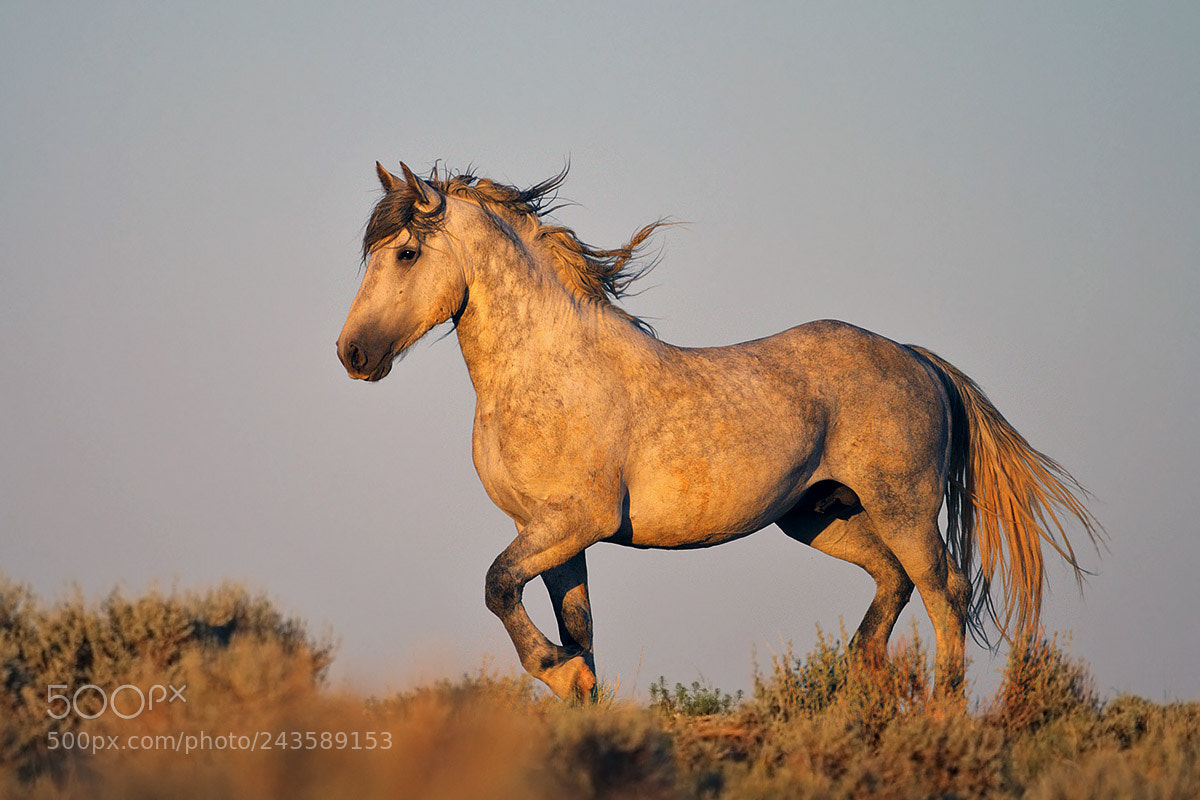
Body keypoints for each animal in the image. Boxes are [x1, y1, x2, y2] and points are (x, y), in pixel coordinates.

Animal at [336, 161, 1101, 700]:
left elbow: (498, 587)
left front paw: (557, 671)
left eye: (406, 253)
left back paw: (939, 716)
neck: (549, 372)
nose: (353, 355)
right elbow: (580, 633)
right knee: (895, 582)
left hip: (903, 506)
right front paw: (577, 691)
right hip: (817, 517)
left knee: (945, 593)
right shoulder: (552, 535)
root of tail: (916, 358)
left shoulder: (572, 522)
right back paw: (869, 688)